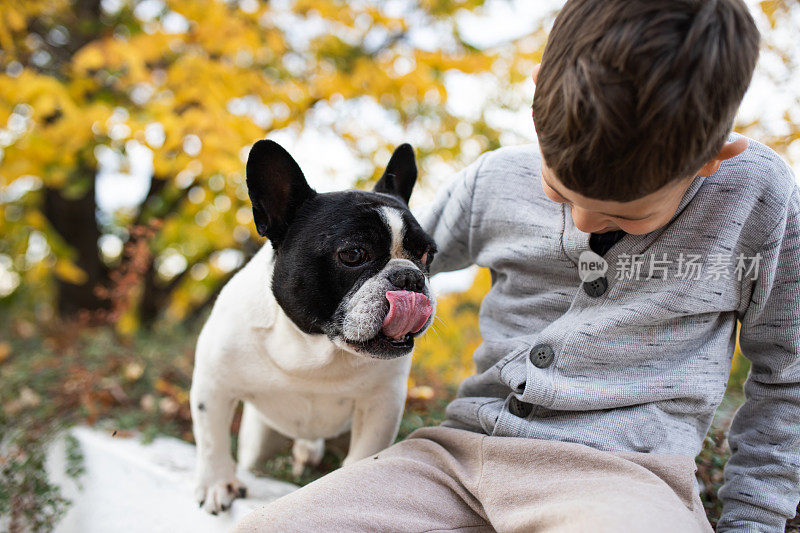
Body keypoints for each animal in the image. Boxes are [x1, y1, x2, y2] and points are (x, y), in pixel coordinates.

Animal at [190, 140, 434, 512]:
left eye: (427, 256)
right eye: (353, 254)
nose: (410, 277)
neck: (315, 350)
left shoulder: (381, 404)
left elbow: (365, 456)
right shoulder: (214, 384)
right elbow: (211, 439)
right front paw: (218, 485)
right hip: (259, 441)